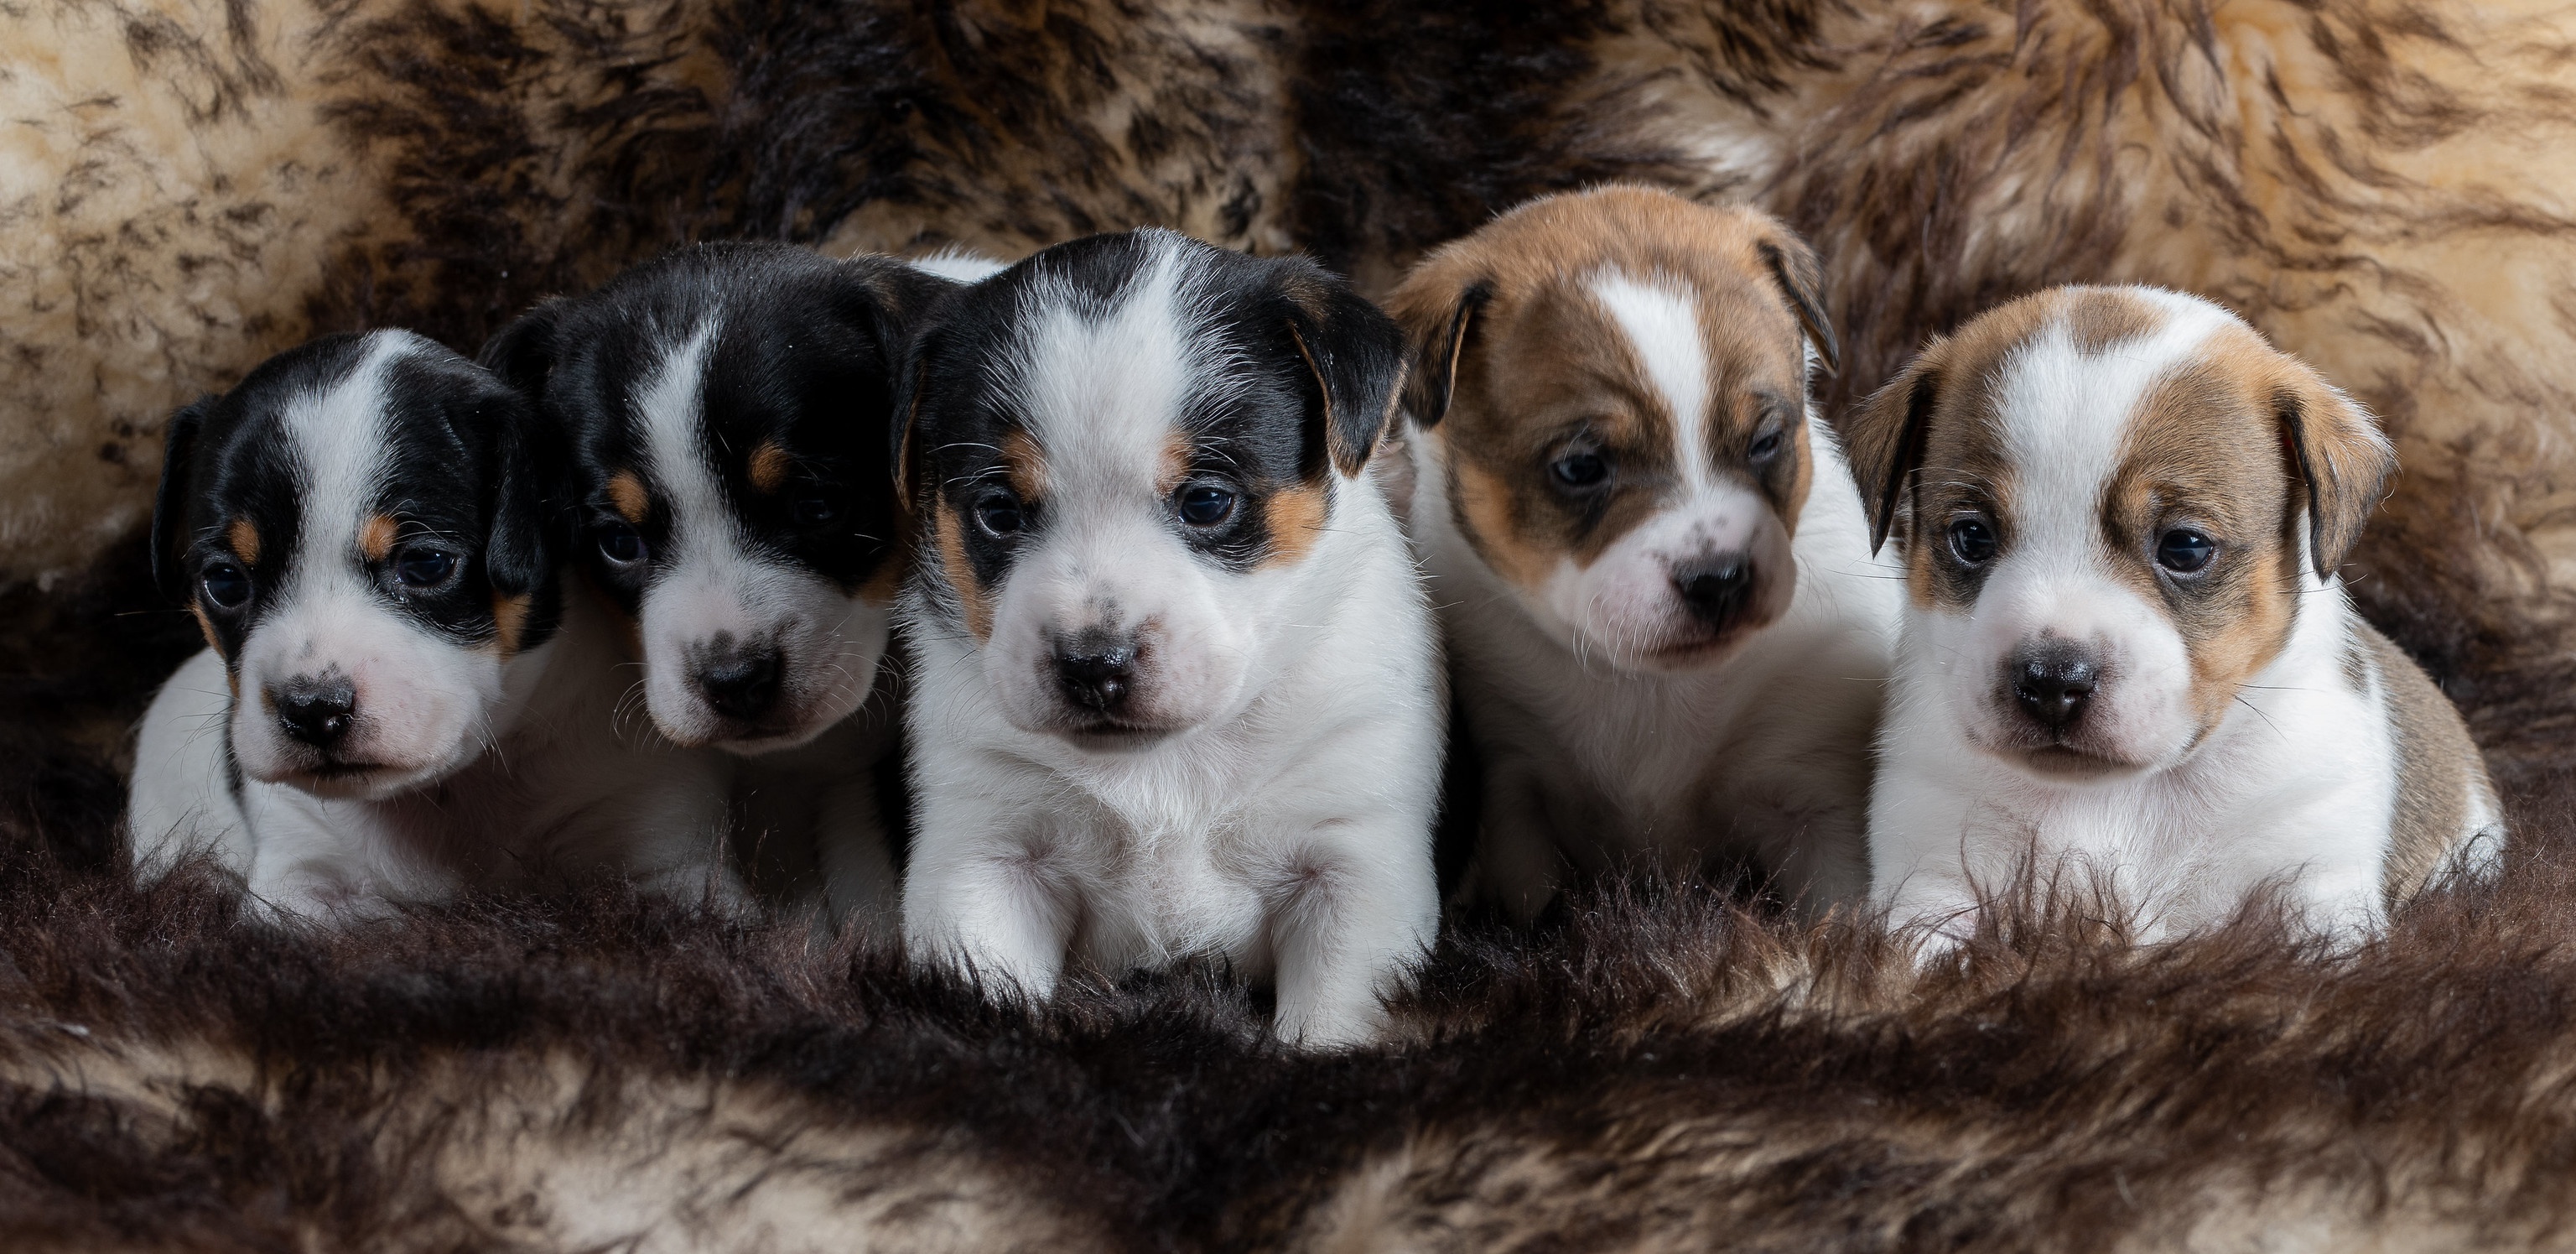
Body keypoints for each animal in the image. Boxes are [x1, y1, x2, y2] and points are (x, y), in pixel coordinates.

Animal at [127, 328, 736, 916]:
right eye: (225, 582)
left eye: (425, 564)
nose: (313, 710)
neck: (460, 791)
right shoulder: (297, 878)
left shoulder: (672, 858)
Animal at [896, 225, 1442, 1050]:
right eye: (998, 510)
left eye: (1208, 501)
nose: (1093, 664)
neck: (1166, 766)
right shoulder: (986, 854)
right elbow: (982, 985)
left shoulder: (1355, 869)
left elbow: (1334, 1021)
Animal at [1380, 186, 1906, 921]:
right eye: (1580, 467)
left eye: (1767, 441)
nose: (1719, 579)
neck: (1650, 683)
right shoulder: (1516, 791)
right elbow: (1528, 895)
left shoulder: (1814, 795)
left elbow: (1840, 911)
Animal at [1844, 287, 2503, 952]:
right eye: (1971, 536)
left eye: (2185, 547)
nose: (2053, 681)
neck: (2122, 797)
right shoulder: (1930, 882)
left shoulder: (2316, 892)